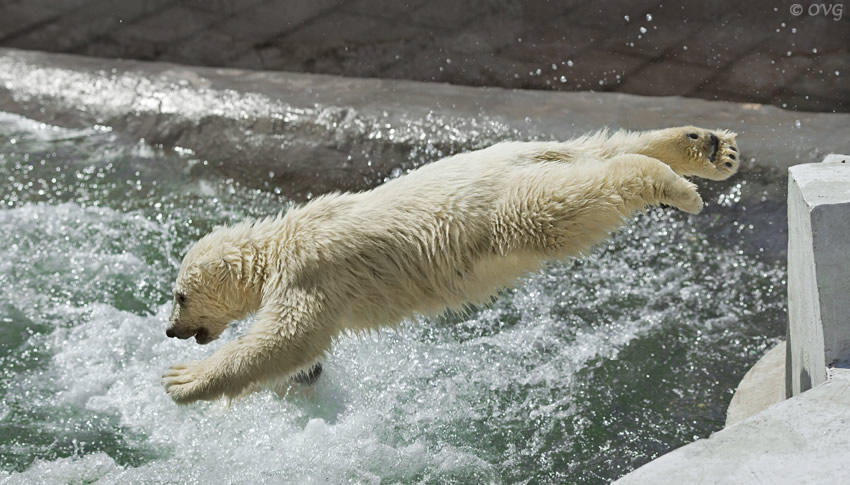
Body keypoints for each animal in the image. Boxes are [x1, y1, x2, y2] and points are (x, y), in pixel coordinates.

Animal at [159, 123, 736, 402]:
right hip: (538, 154)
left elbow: (286, 340)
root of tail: (523, 159)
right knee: (600, 146)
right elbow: (297, 351)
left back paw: (678, 186)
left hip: (502, 211)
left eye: (179, 295)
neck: (278, 241)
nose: (170, 330)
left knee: (565, 203)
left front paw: (183, 380)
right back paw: (706, 148)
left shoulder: (311, 274)